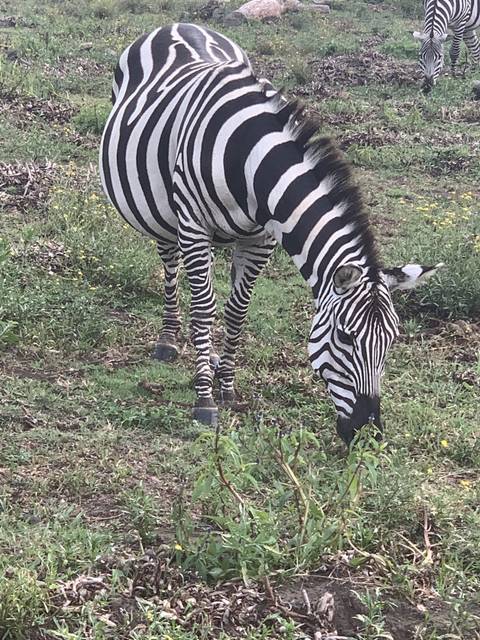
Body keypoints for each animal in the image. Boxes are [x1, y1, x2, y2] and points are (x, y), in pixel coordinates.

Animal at [100, 24, 442, 445]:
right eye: (346, 338)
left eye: (391, 341)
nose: (369, 434)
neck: (249, 162)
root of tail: (179, 25)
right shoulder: (194, 224)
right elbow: (204, 309)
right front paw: (204, 400)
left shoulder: (260, 239)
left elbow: (236, 311)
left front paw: (227, 386)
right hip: (163, 211)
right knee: (169, 263)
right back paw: (168, 339)